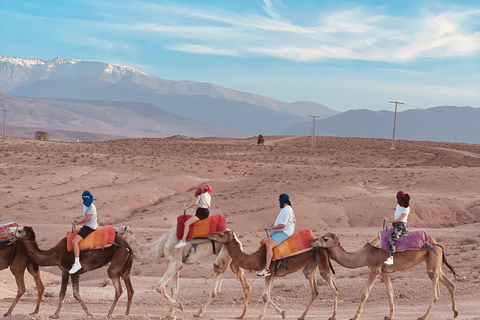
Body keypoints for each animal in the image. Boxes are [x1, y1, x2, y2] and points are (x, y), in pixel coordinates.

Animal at [115, 226, 251, 318]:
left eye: (117, 231)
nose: (111, 236)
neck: (161, 245)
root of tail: (235, 237)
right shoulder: (177, 266)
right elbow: (174, 288)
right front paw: (170, 313)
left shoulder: (174, 262)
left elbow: (159, 286)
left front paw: (179, 306)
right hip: (232, 259)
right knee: (245, 286)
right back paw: (242, 315)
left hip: (223, 255)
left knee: (216, 286)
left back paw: (198, 313)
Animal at [208, 230, 340, 320]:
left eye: (221, 234)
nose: (210, 235)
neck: (257, 257)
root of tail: (324, 247)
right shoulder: (273, 275)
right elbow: (267, 295)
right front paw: (283, 313)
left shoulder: (268, 272)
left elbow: (265, 296)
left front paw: (260, 316)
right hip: (311, 266)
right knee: (314, 291)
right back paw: (302, 316)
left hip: (322, 262)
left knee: (334, 288)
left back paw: (333, 316)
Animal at [310, 232, 460, 320]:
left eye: (325, 238)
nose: (312, 241)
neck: (364, 254)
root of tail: (437, 243)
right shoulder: (384, 272)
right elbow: (390, 293)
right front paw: (390, 315)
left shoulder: (375, 269)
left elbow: (364, 294)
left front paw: (355, 316)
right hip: (435, 262)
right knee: (450, 284)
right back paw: (455, 313)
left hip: (432, 262)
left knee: (436, 292)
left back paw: (423, 316)